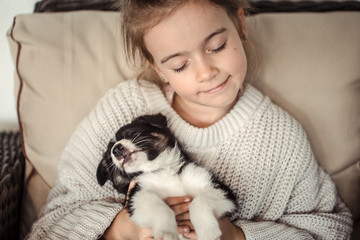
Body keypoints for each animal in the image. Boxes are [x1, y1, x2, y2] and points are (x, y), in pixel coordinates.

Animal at [96, 114, 236, 240]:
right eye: (109, 159)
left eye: (132, 133)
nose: (116, 150)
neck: (162, 169)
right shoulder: (137, 196)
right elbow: (160, 207)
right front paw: (167, 233)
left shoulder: (222, 191)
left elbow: (199, 201)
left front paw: (208, 231)